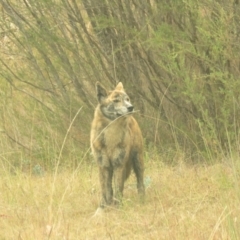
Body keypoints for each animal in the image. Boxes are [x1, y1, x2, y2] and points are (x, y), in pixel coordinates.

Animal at [91, 81, 145, 209]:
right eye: (116, 100)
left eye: (127, 99)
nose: (131, 107)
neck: (111, 134)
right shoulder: (103, 166)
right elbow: (105, 189)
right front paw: (103, 207)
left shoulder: (119, 165)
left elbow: (118, 189)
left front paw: (117, 206)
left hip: (138, 160)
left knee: (140, 182)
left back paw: (142, 199)